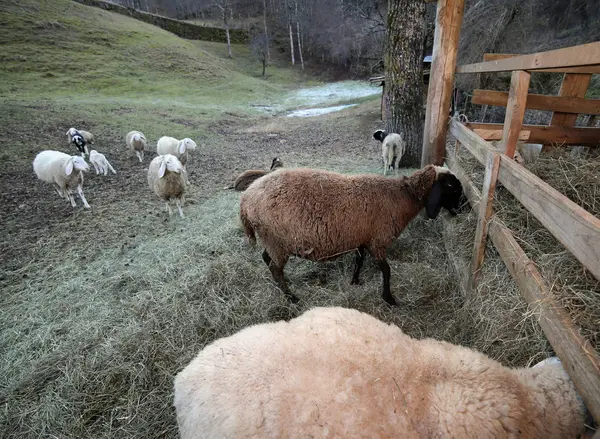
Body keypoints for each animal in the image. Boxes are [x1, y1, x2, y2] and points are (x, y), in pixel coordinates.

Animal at [239, 165, 464, 306]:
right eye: (452, 187)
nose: (463, 209)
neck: (403, 196)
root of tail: (246, 199)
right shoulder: (378, 240)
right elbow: (386, 270)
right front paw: (388, 298)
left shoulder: (362, 237)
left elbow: (359, 260)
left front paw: (355, 280)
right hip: (277, 241)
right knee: (274, 267)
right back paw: (291, 297)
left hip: (273, 241)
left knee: (266, 258)